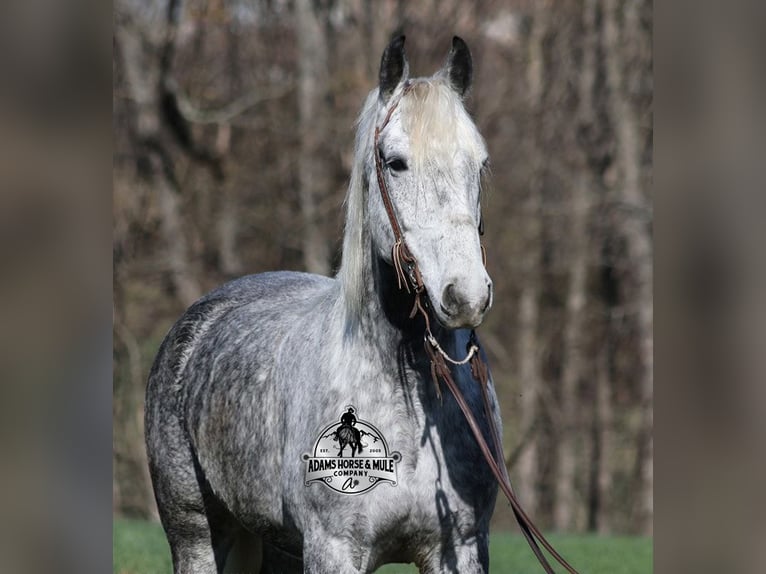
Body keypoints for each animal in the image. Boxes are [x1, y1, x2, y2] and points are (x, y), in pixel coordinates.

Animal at [145, 35, 502, 574]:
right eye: (395, 162)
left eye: (478, 163)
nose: (465, 295)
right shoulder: (334, 549)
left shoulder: (458, 549)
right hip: (196, 537)